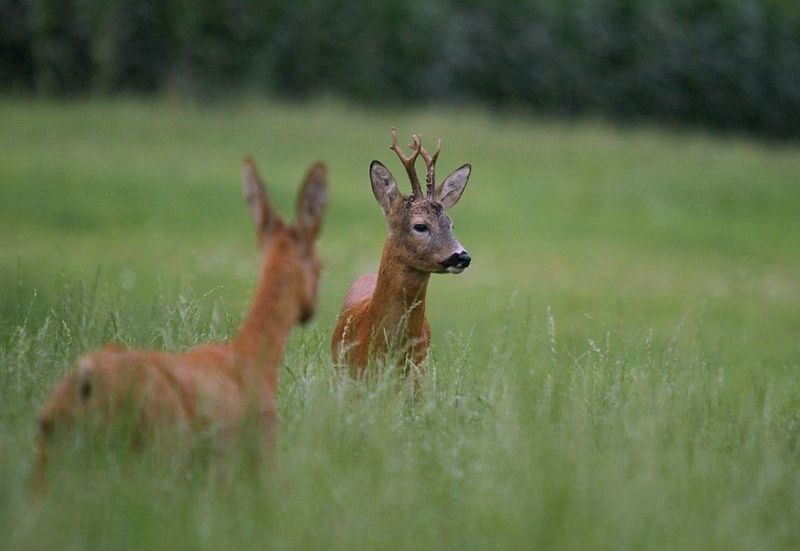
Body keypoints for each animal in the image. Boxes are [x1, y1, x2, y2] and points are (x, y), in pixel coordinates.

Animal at [34, 158, 328, 488]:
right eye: (321, 265)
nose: (311, 308)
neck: (254, 357)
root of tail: (84, 383)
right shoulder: (262, 453)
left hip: (48, 454)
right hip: (161, 449)